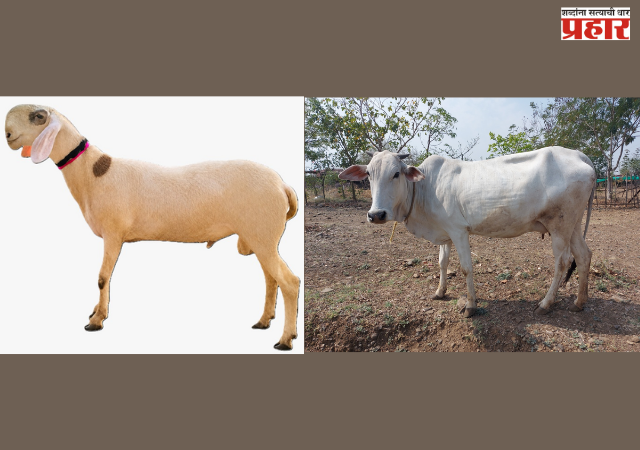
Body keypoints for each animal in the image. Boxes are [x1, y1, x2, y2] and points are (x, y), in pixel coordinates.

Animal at [4, 104, 300, 350]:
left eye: (38, 117)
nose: (7, 135)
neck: (92, 173)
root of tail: (283, 186)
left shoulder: (113, 233)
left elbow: (102, 277)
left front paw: (96, 321)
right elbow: (103, 278)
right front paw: (96, 312)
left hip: (262, 233)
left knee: (289, 282)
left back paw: (285, 340)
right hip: (261, 236)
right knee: (271, 279)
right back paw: (264, 321)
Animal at [339, 147, 596, 318]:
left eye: (396, 173)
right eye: (369, 174)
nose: (376, 214)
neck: (424, 188)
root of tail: (580, 155)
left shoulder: (458, 230)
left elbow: (465, 268)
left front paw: (471, 305)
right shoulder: (445, 233)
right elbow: (442, 262)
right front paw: (440, 291)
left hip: (560, 226)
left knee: (562, 262)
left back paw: (546, 303)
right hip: (572, 225)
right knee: (583, 255)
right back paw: (579, 302)